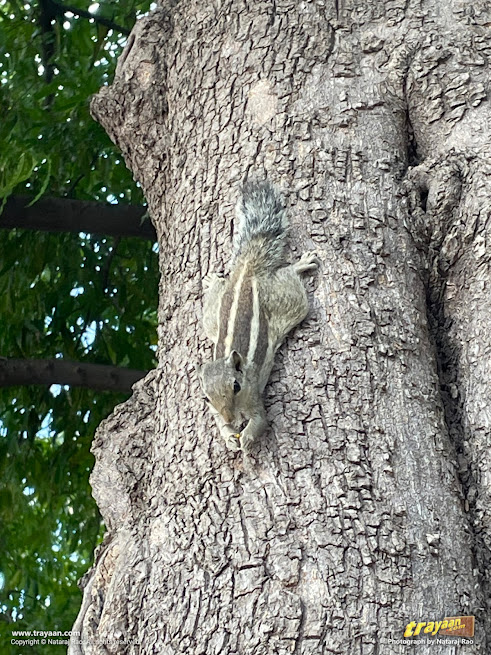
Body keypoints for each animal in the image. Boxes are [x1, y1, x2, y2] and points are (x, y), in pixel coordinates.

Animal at [200, 182, 320, 454]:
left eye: (236, 386)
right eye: (206, 398)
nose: (230, 418)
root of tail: (246, 271)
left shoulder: (254, 394)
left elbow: (260, 421)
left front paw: (245, 439)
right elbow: (219, 425)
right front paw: (228, 437)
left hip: (286, 301)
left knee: (290, 281)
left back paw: (300, 265)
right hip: (211, 318)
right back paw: (213, 281)